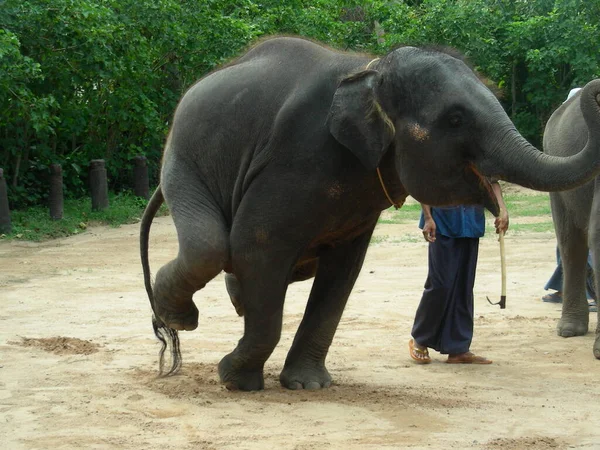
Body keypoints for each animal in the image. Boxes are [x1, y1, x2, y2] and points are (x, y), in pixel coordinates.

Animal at [138, 37, 600, 390]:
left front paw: (307, 386)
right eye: (455, 119)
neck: (371, 72)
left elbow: (342, 272)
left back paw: (225, 303)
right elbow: (258, 247)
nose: (592, 91)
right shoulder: (291, 160)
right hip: (182, 158)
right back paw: (178, 316)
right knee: (212, 246)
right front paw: (236, 380)